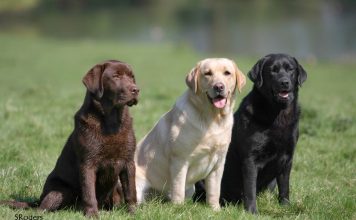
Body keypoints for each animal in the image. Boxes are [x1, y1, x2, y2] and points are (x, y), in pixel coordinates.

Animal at [0, 59, 138, 217]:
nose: (136, 90)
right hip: (60, 191)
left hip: (116, 188)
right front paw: (92, 215)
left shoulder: (128, 162)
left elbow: (131, 192)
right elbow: (89, 193)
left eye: (132, 77)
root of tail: (39, 199)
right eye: (116, 76)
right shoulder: (88, 164)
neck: (111, 122)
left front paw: (134, 213)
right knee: (42, 208)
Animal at [193, 53, 308, 213]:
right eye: (273, 70)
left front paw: (285, 207)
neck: (277, 115)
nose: (284, 82)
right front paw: (252, 211)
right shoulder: (250, 159)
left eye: (290, 69)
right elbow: (250, 188)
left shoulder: (287, 158)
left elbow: (285, 187)